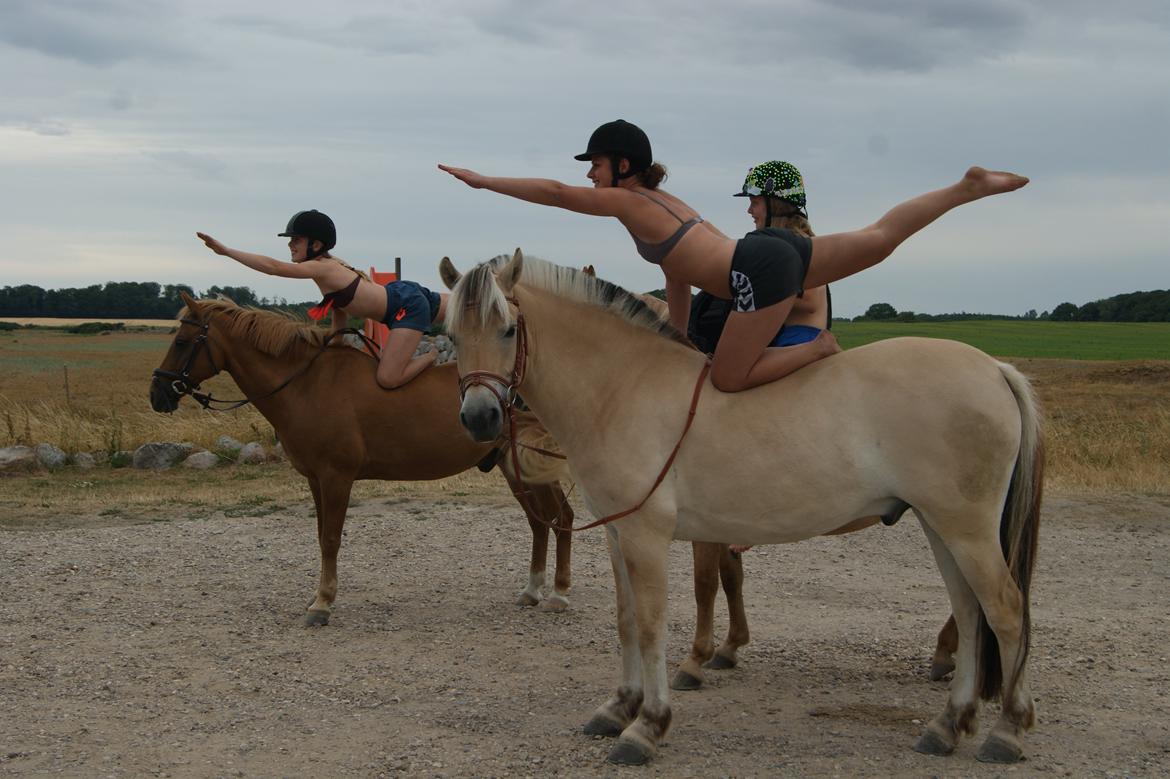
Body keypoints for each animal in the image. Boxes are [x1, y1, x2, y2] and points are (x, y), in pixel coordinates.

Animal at [148, 291, 577, 626]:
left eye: (183, 341)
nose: (158, 394)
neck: (307, 383)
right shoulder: (315, 479)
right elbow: (320, 534)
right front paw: (318, 596)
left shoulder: (336, 477)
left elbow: (331, 539)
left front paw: (322, 604)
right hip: (514, 468)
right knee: (540, 523)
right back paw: (532, 590)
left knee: (561, 518)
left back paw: (558, 593)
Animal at [439, 251, 1043, 762]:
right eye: (451, 335)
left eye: (508, 329)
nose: (479, 418)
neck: (624, 387)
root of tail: (994, 369)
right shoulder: (617, 534)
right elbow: (627, 619)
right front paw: (618, 707)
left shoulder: (647, 536)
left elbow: (654, 623)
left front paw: (648, 725)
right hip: (940, 527)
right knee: (970, 613)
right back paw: (948, 724)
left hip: (966, 529)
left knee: (1006, 611)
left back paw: (1007, 730)